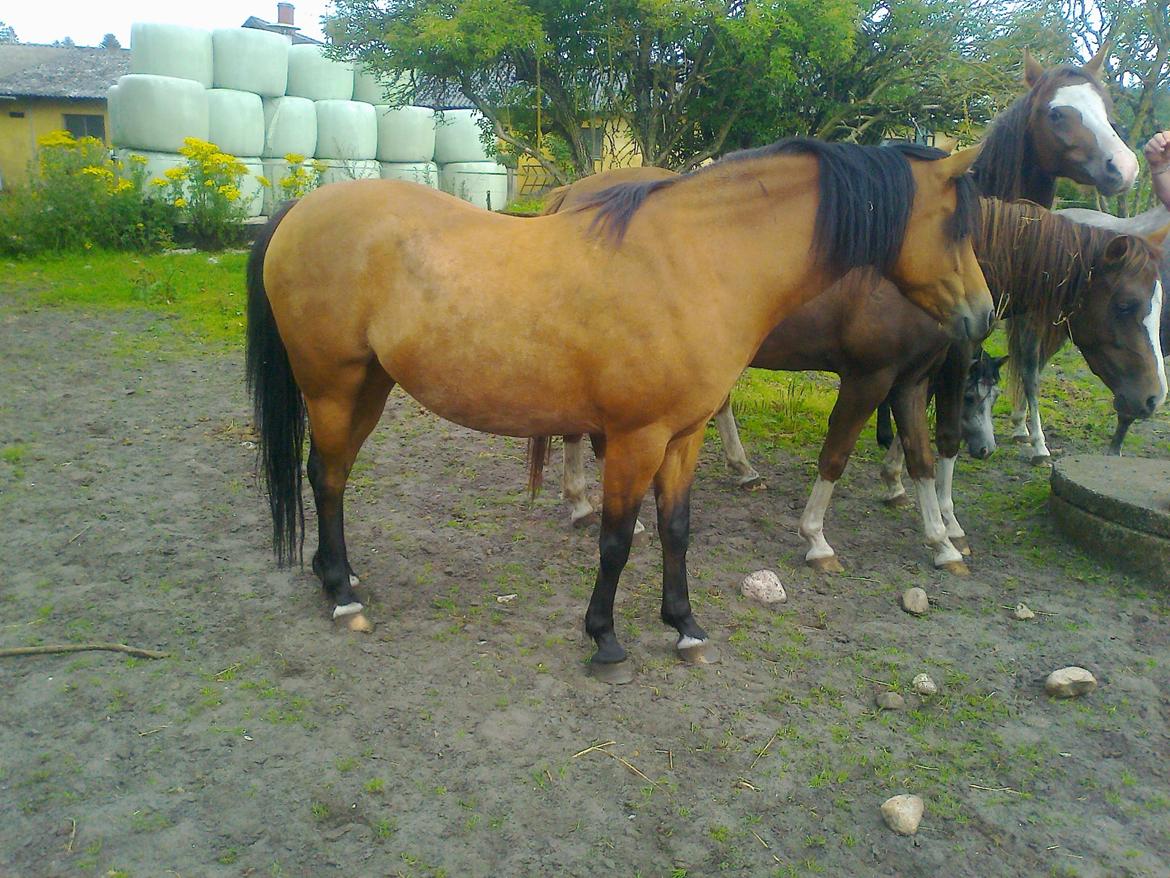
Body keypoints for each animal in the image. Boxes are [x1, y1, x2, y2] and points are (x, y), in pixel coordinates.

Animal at [246, 137, 991, 678]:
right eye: (954, 225)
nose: (982, 316)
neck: (695, 261)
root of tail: (298, 213)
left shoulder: (684, 436)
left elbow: (676, 529)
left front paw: (685, 627)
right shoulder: (637, 437)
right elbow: (615, 540)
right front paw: (605, 639)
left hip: (369, 387)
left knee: (331, 477)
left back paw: (340, 576)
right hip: (334, 388)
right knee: (327, 478)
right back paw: (342, 596)